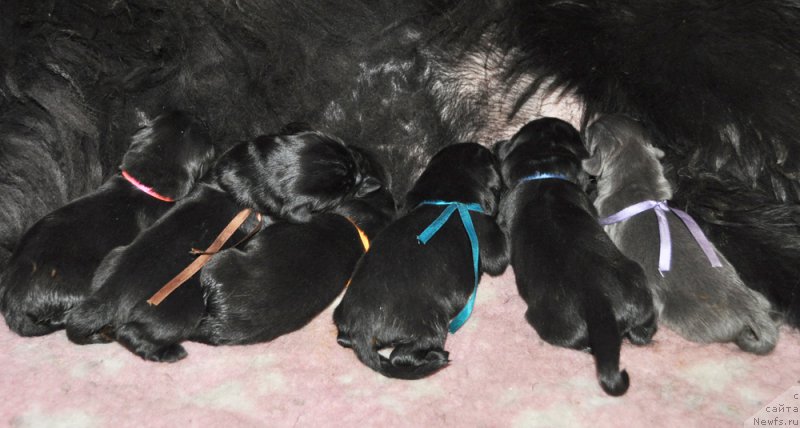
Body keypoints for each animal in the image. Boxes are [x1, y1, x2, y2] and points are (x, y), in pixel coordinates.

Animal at [334, 145, 510, 382]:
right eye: (490, 157)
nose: (494, 149)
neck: (448, 198)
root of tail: (362, 333)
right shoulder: (490, 239)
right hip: (430, 326)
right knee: (401, 355)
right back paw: (437, 356)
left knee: (344, 340)